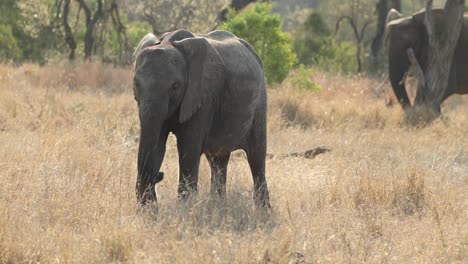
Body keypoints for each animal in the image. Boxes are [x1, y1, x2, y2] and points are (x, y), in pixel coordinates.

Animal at [132, 29, 270, 208]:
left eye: (175, 86)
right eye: (136, 83)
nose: (159, 174)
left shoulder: (202, 97)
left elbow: (188, 148)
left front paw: (185, 209)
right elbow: (157, 145)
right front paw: (149, 210)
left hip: (260, 101)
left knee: (256, 157)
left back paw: (263, 211)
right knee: (218, 161)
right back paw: (218, 206)